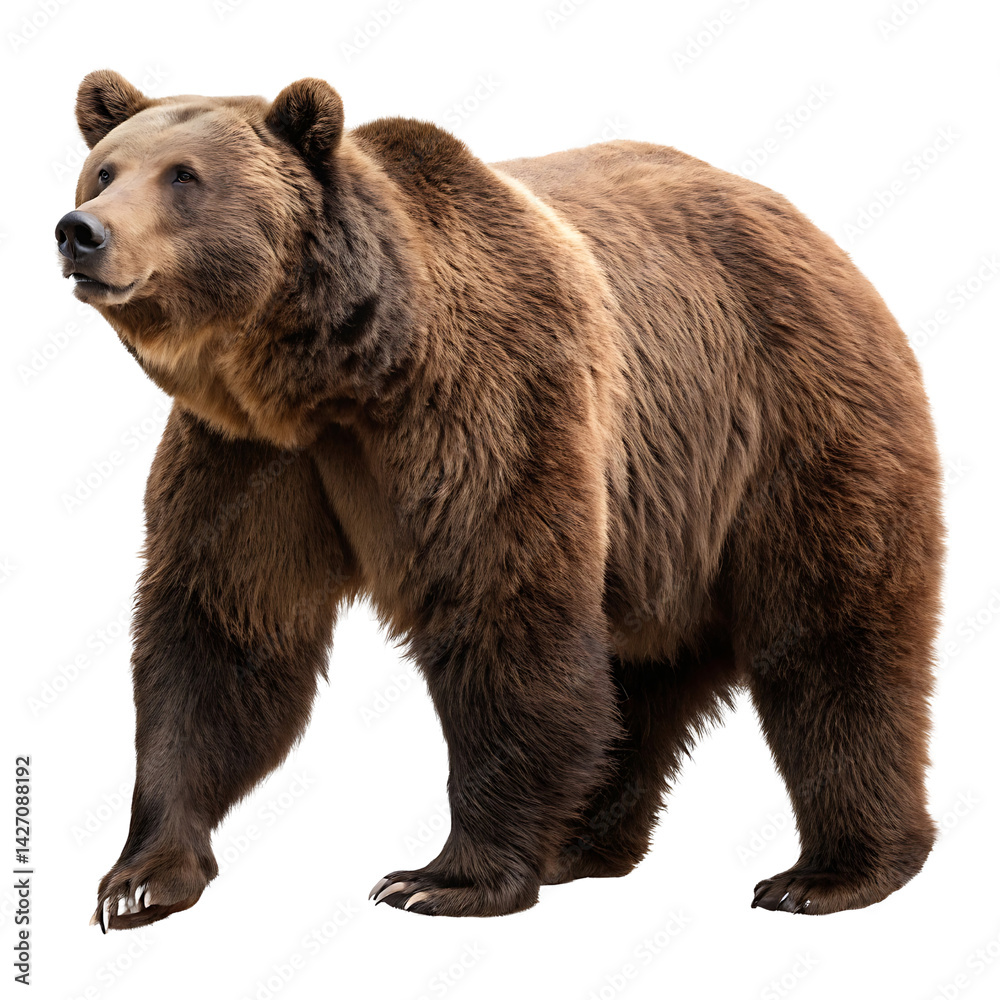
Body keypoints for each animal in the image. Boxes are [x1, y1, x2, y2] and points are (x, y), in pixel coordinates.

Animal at [56, 70, 944, 931]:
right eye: (105, 169)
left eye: (184, 176)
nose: (81, 231)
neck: (337, 375)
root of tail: (814, 232)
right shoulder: (249, 455)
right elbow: (222, 633)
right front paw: (140, 879)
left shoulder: (487, 400)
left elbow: (500, 610)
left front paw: (442, 879)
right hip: (663, 520)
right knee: (641, 674)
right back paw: (583, 839)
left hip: (789, 424)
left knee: (833, 638)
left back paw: (832, 872)